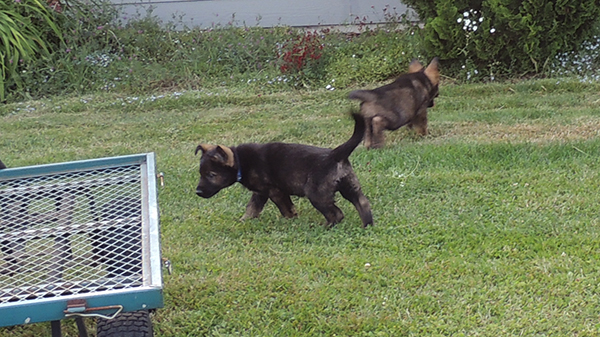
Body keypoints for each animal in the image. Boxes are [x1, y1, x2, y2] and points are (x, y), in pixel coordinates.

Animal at [197, 111, 372, 227]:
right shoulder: (261, 192)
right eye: (201, 174)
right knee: (363, 203)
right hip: (350, 186)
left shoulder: (274, 191)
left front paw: (291, 219)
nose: (197, 192)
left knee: (337, 214)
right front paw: (244, 220)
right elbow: (252, 207)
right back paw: (367, 225)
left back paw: (325, 226)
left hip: (317, 194)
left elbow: (284, 208)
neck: (241, 161)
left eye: (211, 174)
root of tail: (335, 154)